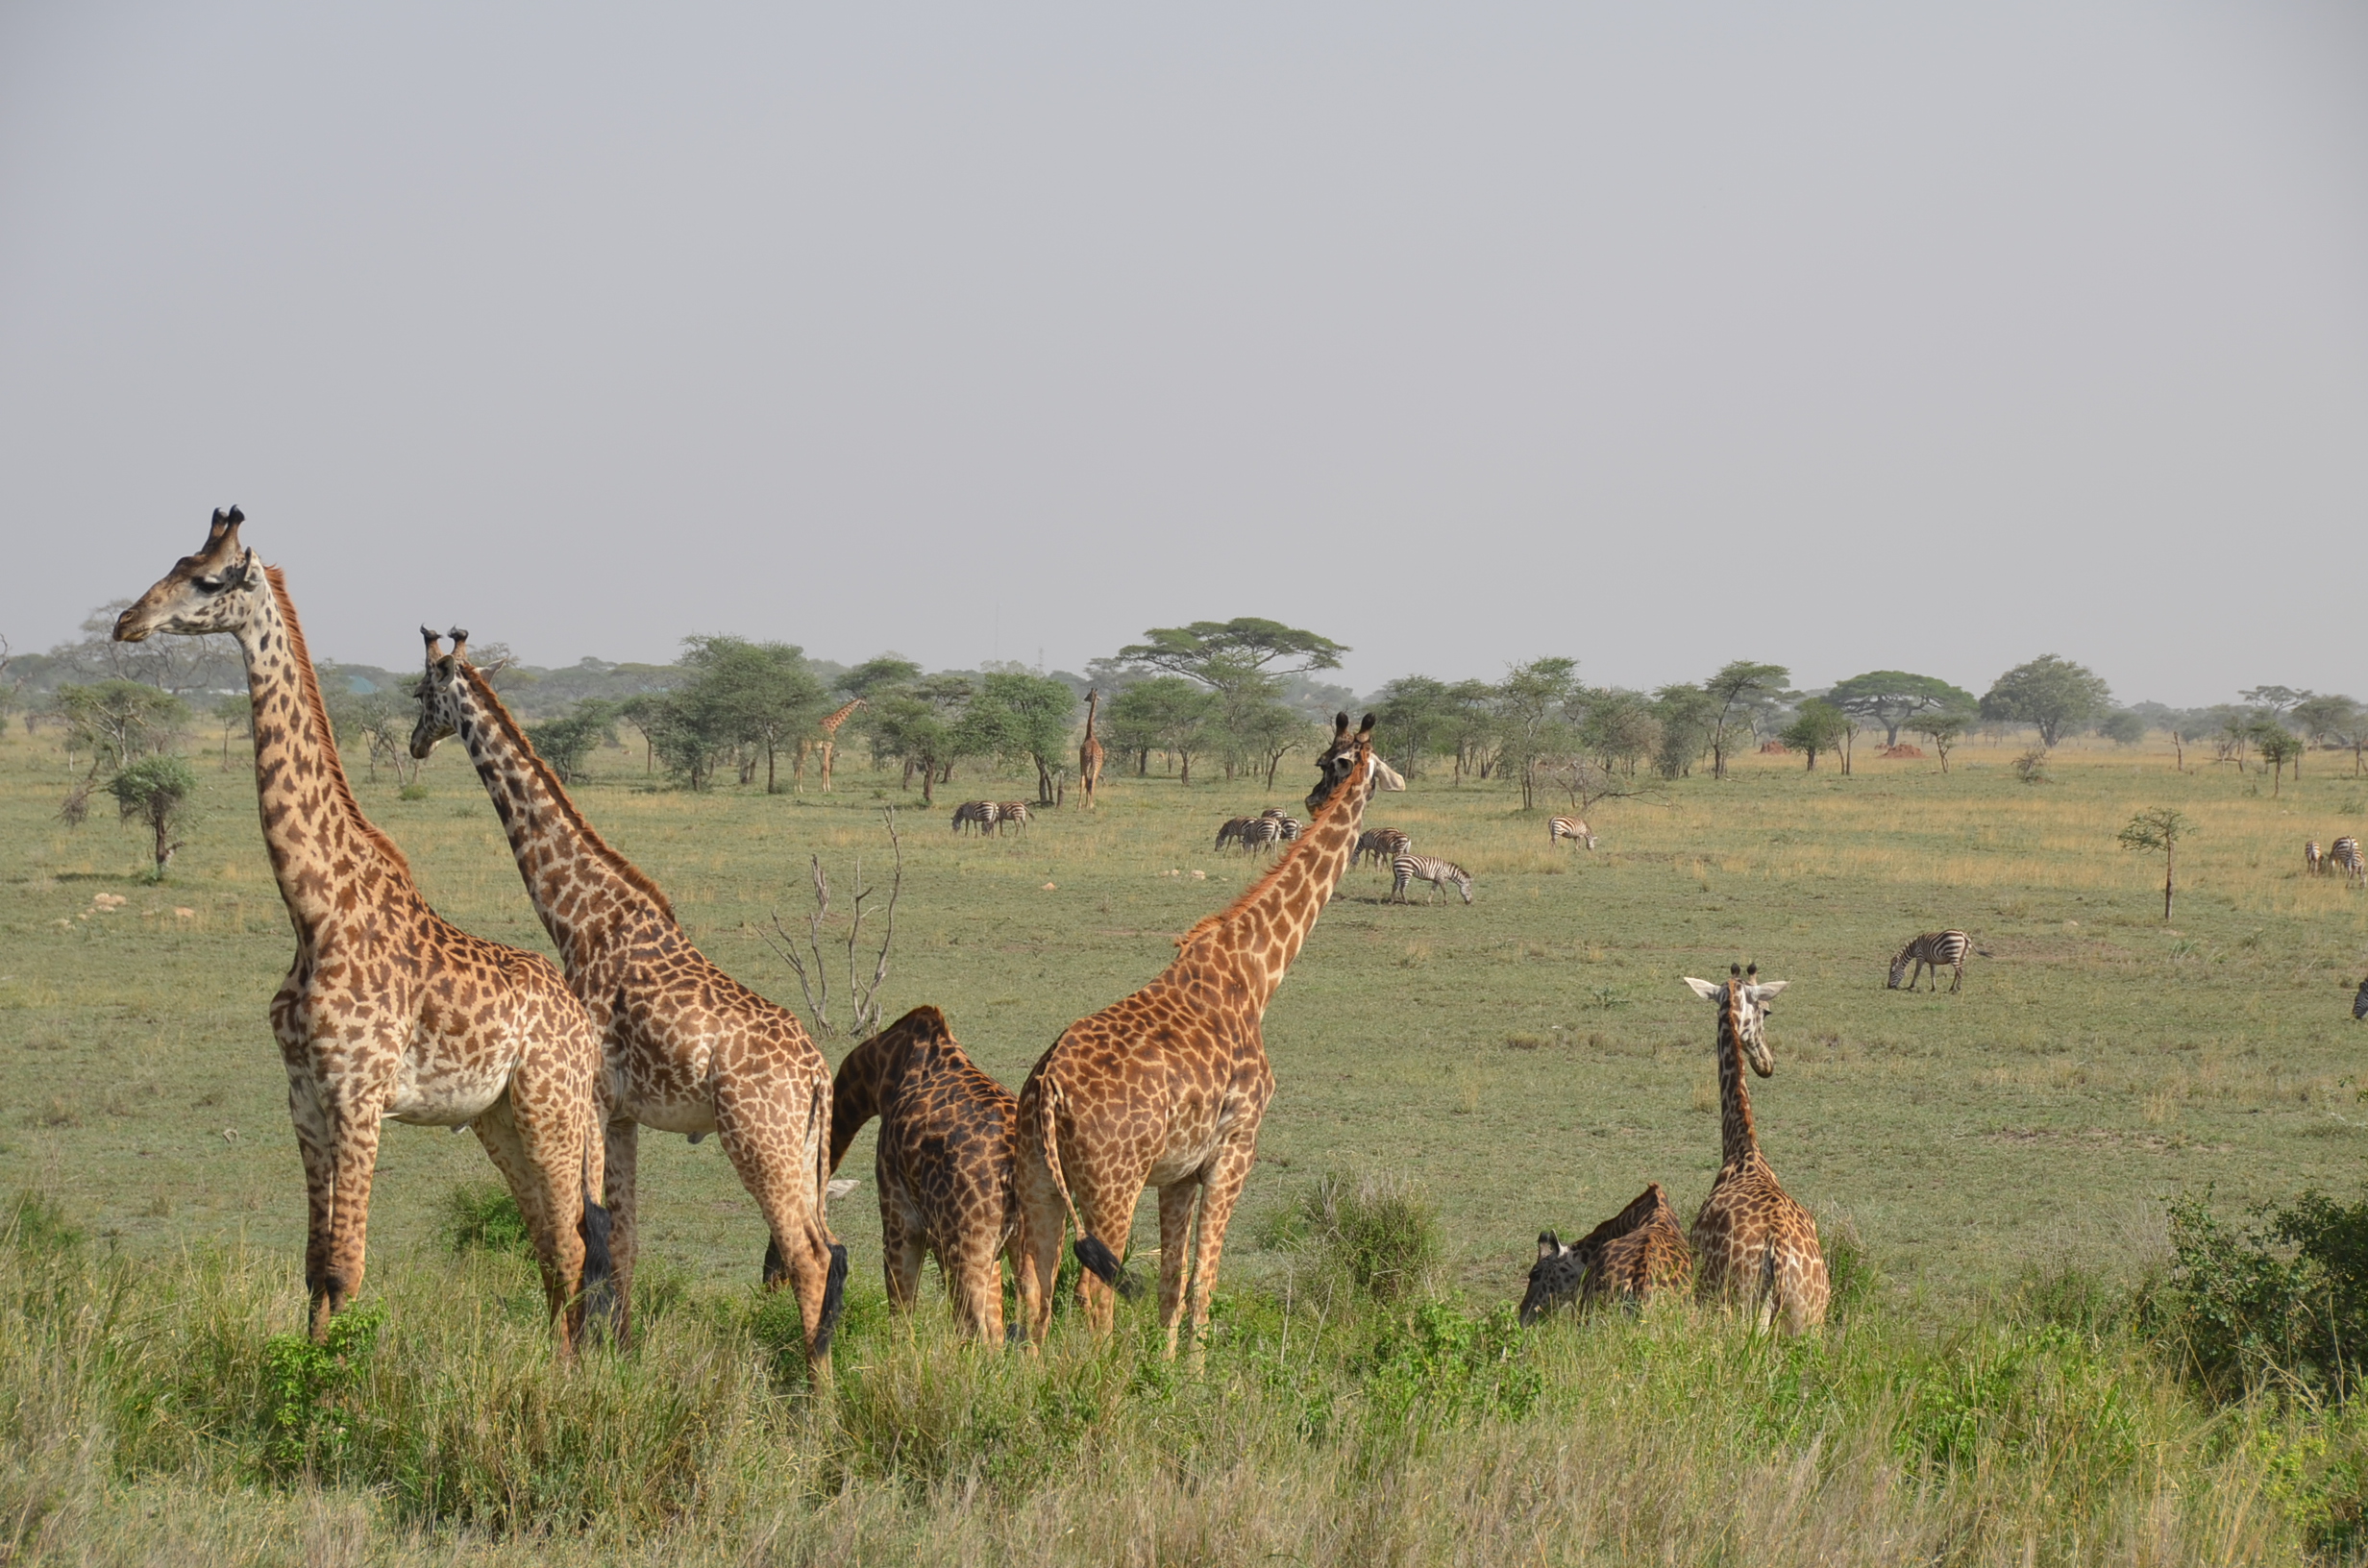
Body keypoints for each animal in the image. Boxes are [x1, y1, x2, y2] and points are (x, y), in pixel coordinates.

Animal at [111, 513, 610, 1355]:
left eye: (208, 580)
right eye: (173, 563)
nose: (125, 622)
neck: (314, 910)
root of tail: (583, 1026)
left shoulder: (359, 1095)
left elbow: (347, 1267)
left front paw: (338, 1384)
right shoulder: (304, 1097)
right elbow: (316, 1266)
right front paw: (306, 1372)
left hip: (553, 1104)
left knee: (572, 1244)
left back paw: (568, 1376)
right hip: (499, 1117)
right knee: (550, 1241)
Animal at [411, 634, 848, 1373]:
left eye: (419, 694)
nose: (414, 743)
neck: (577, 915)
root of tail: (817, 1074)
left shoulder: (587, 1094)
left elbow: (590, 1228)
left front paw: (590, 1358)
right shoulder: (622, 1113)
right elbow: (624, 1238)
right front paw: (623, 1356)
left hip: (757, 1138)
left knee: (811, 1256)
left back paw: (813, 1386)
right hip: (803, 1145)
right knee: (831, 1247)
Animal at [1008, 720, 1382, 1355]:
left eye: (1331, 759)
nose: (1315, 798)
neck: (1258, 973)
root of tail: (1048, 1088)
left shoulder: (1179, 1171)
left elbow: (1171, 1283)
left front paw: (1163, 1368)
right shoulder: (1235, 1150)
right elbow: (1204, 1282)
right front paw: (1192, 1373)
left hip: (1040, 1178)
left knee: (1037, 1288)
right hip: (1113, 1184)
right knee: (1093, 1293)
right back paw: (1101, 1376)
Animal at [1686, 970, 1828, 1335]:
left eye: (1767, 1011)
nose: (1766, 1063)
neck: (1743, 1151)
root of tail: (1777, 1252)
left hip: (1732, 1305)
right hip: (1808, 1323)